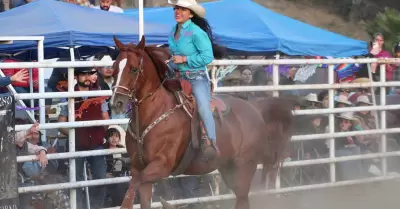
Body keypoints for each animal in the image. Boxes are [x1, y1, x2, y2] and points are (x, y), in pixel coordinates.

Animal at [111, 36, 296, 209]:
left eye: (134, 69)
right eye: (114, 69)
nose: (116, 103)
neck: (154, 113)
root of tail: (255, 108)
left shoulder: (162, 165)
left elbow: (134, 183)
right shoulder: (139, 167)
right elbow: (139, 190)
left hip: (244, 167)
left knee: (243, 199)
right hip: (228, 169)